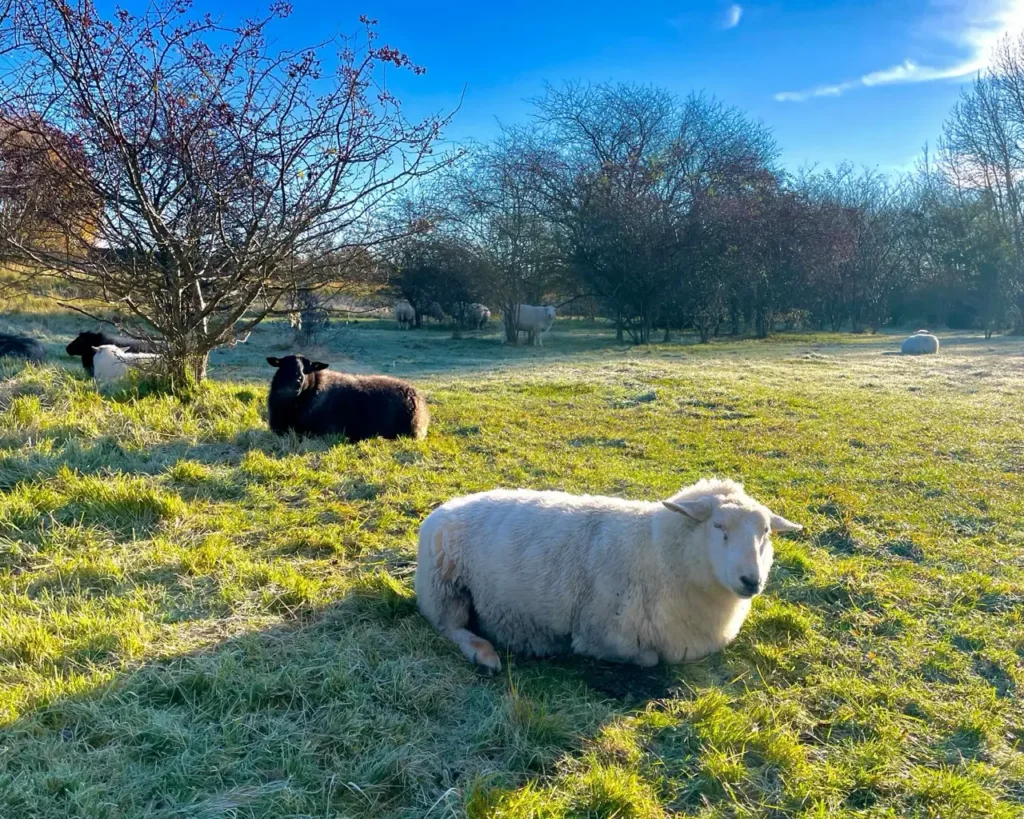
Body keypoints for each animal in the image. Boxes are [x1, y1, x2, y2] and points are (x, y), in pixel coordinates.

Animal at [416, 478, 802, 672]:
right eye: (719, 526)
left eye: (766, 533)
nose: (752, 581)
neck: (657, 552)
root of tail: (443, 508)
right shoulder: (602, 635)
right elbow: (647, 658)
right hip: (444, 588)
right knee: (450, 627)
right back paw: (485, 655)